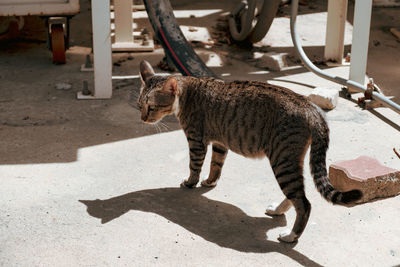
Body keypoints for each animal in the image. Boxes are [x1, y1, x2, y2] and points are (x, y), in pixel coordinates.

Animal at [135, 59, 362, 244]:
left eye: (152, 107)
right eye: (139, 106)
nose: (143, 119)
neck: (187, 92)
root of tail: (312, 108)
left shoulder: (196, 140)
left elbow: (195, 166)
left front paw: (190, 182)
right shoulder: (220, 142)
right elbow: (216, 165)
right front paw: (210, 182)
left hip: (282, 160)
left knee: (304, 203)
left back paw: (291, 236)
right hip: (291, 160)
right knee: (297, 194)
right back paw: (278, 210)